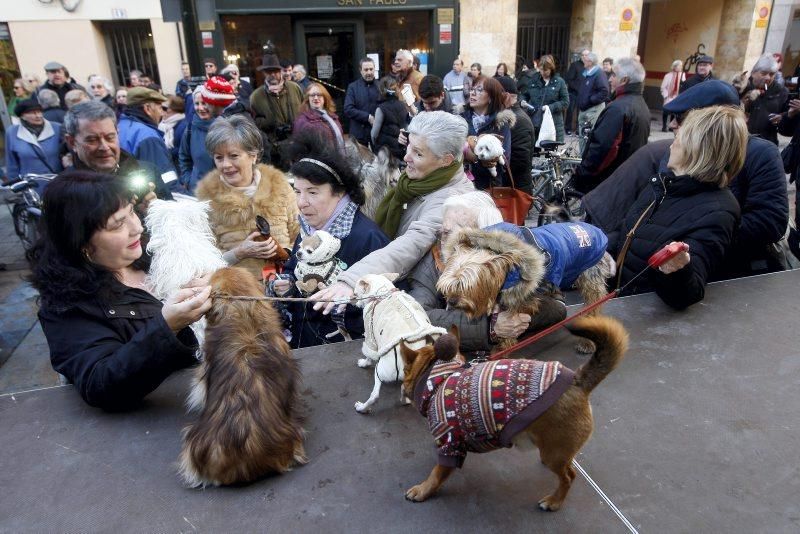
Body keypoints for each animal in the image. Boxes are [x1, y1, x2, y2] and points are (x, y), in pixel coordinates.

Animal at [354, 274, 446, 416]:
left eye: (355, 294)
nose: (355, 303)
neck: (383, 291)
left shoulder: (370, 335)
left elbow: (369, 354)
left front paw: (364, 363)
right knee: (404, 389)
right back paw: (405, 401)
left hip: (380, 371)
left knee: (375, 396)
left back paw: (362, 408)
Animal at [396, 316, 628, 512]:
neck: (438, 378)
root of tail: (578, 381)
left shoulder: (451, 445)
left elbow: (436, 474)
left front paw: (422, 490)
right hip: (556, 450)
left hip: (554, 455)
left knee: (569, 477)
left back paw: (554, 501)